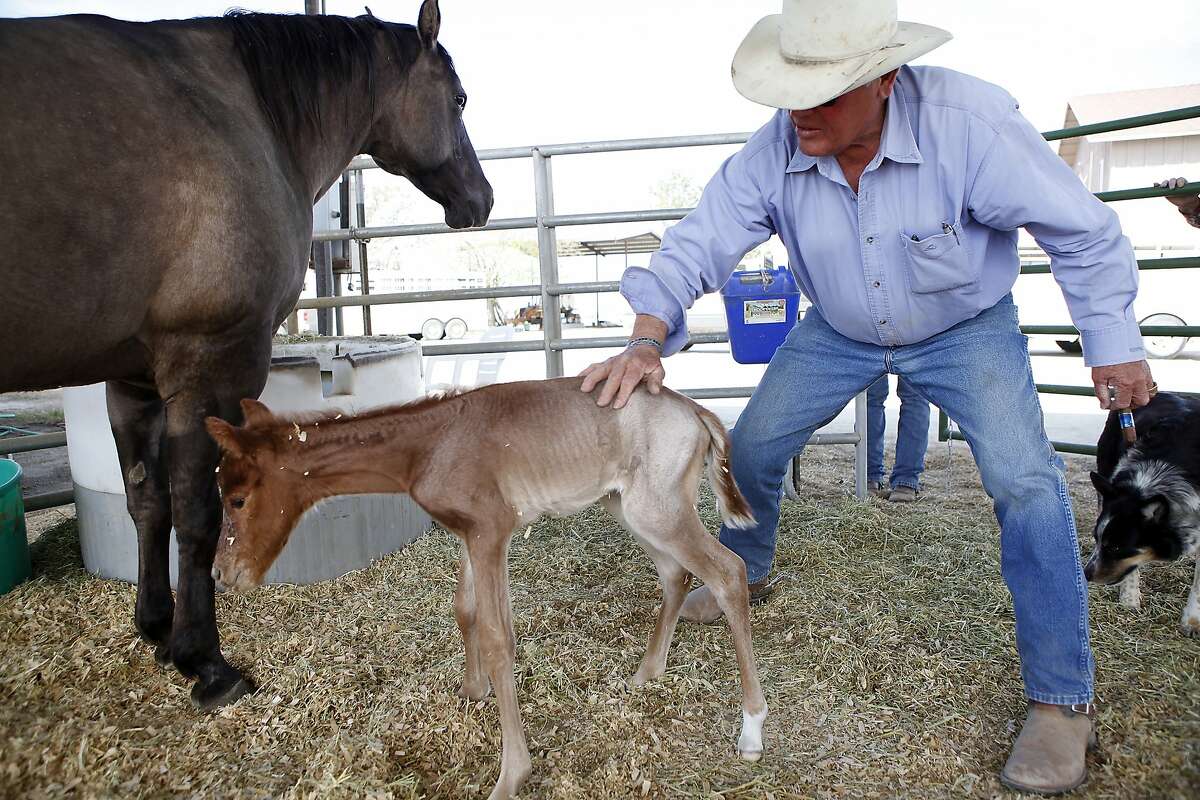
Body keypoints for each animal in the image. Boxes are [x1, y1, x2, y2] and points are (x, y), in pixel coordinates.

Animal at [206, 376, 768, 800]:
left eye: (236, 499)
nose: (221, 574)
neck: (428, 445)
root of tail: (694, 409)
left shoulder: (491, 530)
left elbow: (501, 639)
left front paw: (511, 774)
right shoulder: (469, 532)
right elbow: (465, 609)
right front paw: (472, 690)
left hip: (658, 507)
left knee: (728, 572)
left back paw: (751, 729)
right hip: (627, 506)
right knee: (675, 574)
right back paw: (646, 674)